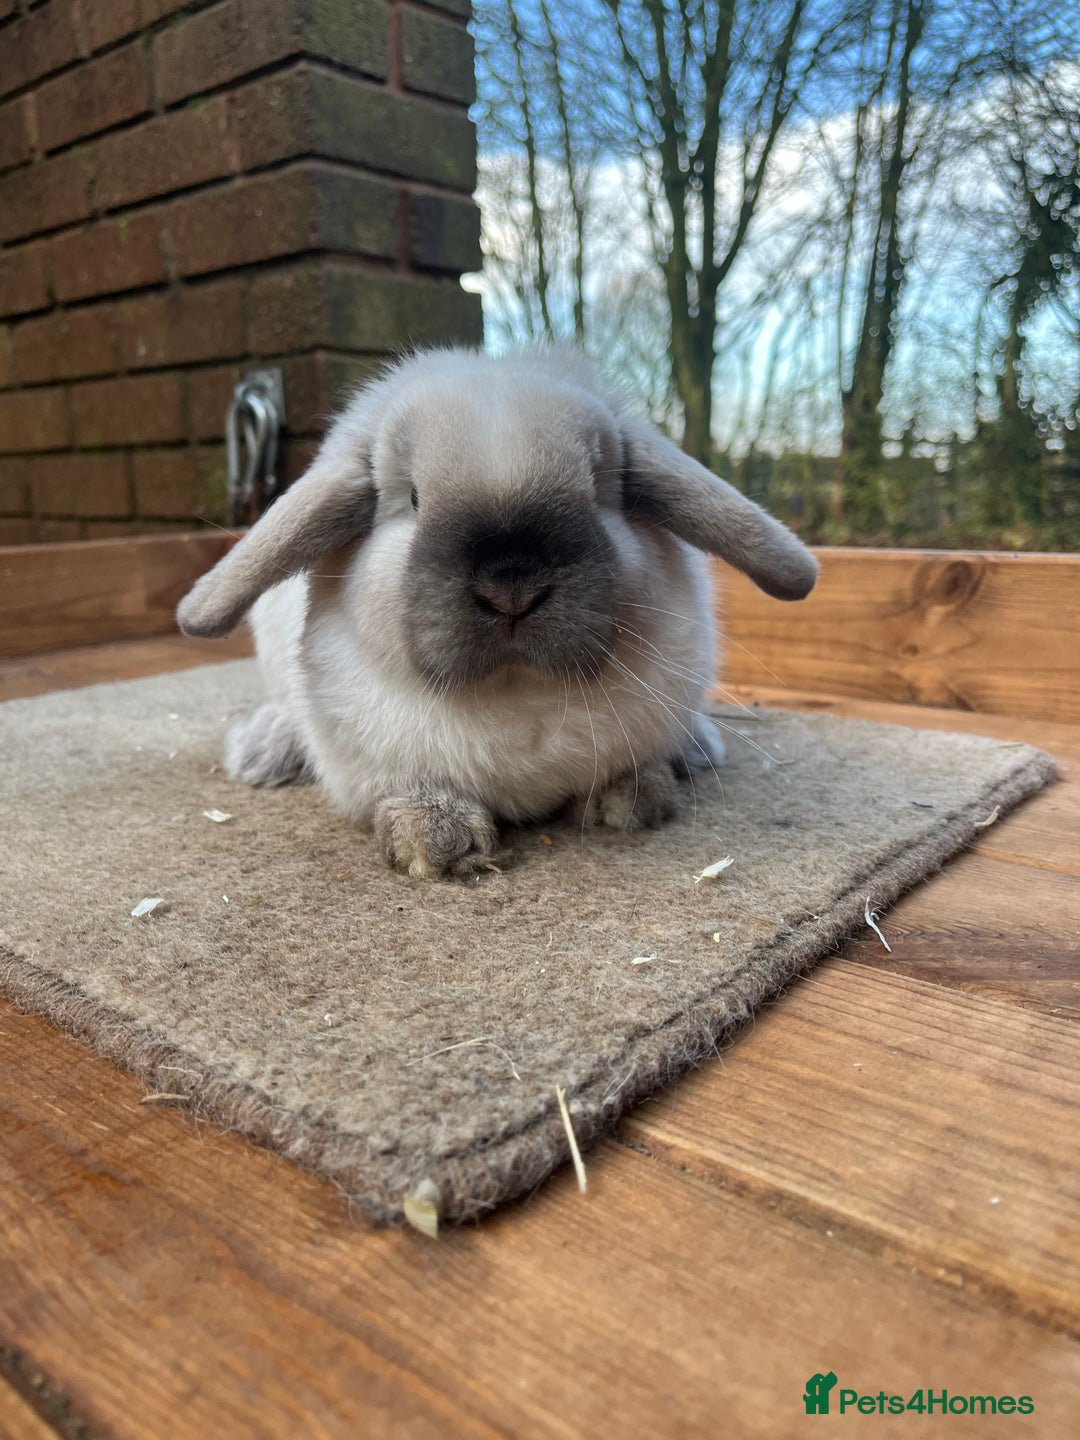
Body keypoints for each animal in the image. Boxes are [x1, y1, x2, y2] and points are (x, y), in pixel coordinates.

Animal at [177, 347, 817, 878]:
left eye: (597, 489)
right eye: (413, 499)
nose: (513, 586)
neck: (516, 693)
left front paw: (633, 799)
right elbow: (407, 792)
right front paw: (434, 837)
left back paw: (696, 749)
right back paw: (264, 751)